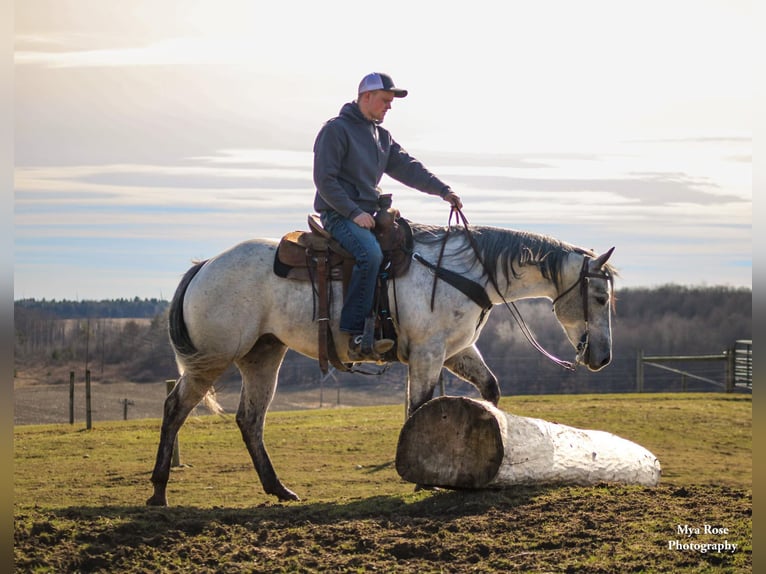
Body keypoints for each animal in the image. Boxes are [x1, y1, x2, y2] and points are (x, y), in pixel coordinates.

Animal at [148, 223, 616, 506]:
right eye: (599, 297)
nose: (602, 357)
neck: (463, 273)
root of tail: (204, 265)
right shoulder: (428, 353)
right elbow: (418, 407)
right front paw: (422, 474)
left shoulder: (456, 351)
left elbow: (489, 390)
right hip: (212, 358)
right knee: (175, 408)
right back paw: (158, 491)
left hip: (263, 356)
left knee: (249, 420)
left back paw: (278, 489)